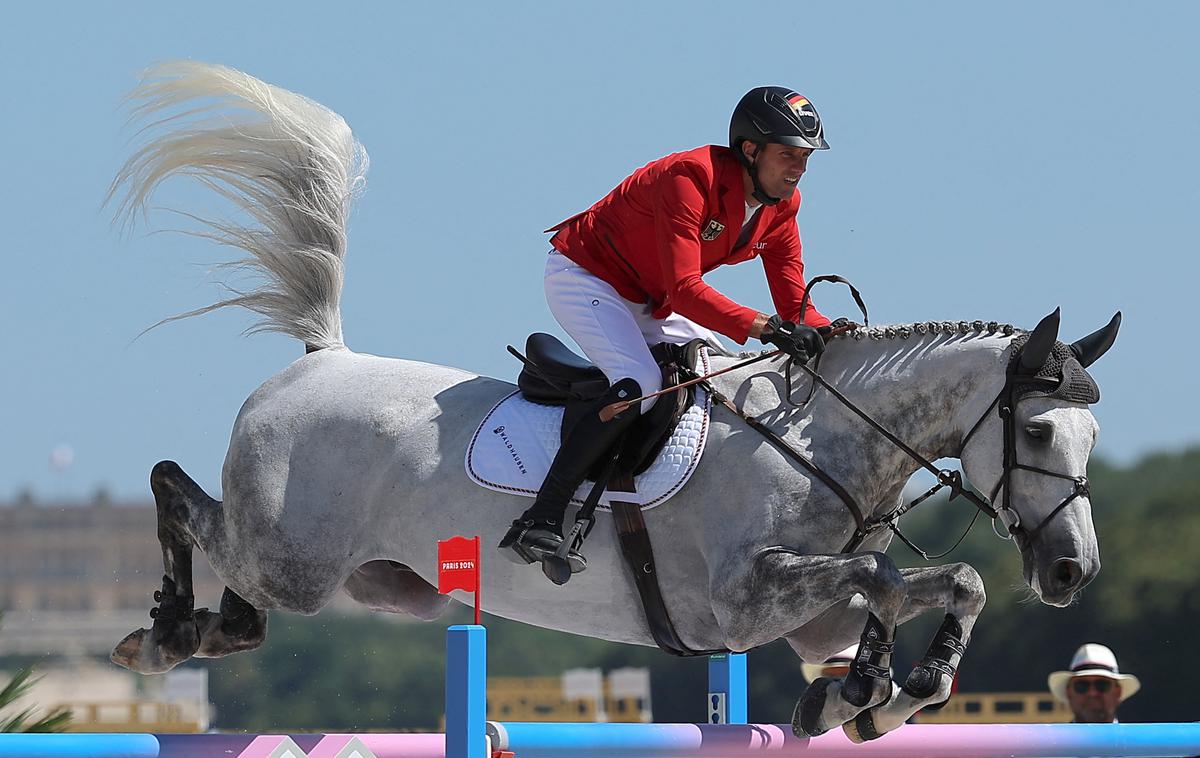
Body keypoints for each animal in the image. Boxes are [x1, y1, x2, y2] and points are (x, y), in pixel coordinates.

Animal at [108, 60, 1118, 738]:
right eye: (1036, 429)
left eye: (1092, 437)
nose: (1073, 573)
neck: (820, 443)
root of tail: (322, 360)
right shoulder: (745, 599)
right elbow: (881, 576)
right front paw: (868, 690)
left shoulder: (806, 615)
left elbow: (945, 581)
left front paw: (870, 694)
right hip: (293, 558)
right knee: (176, 492)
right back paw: (160, 632)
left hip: (384, 586)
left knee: (241, 607)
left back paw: (199, 626)